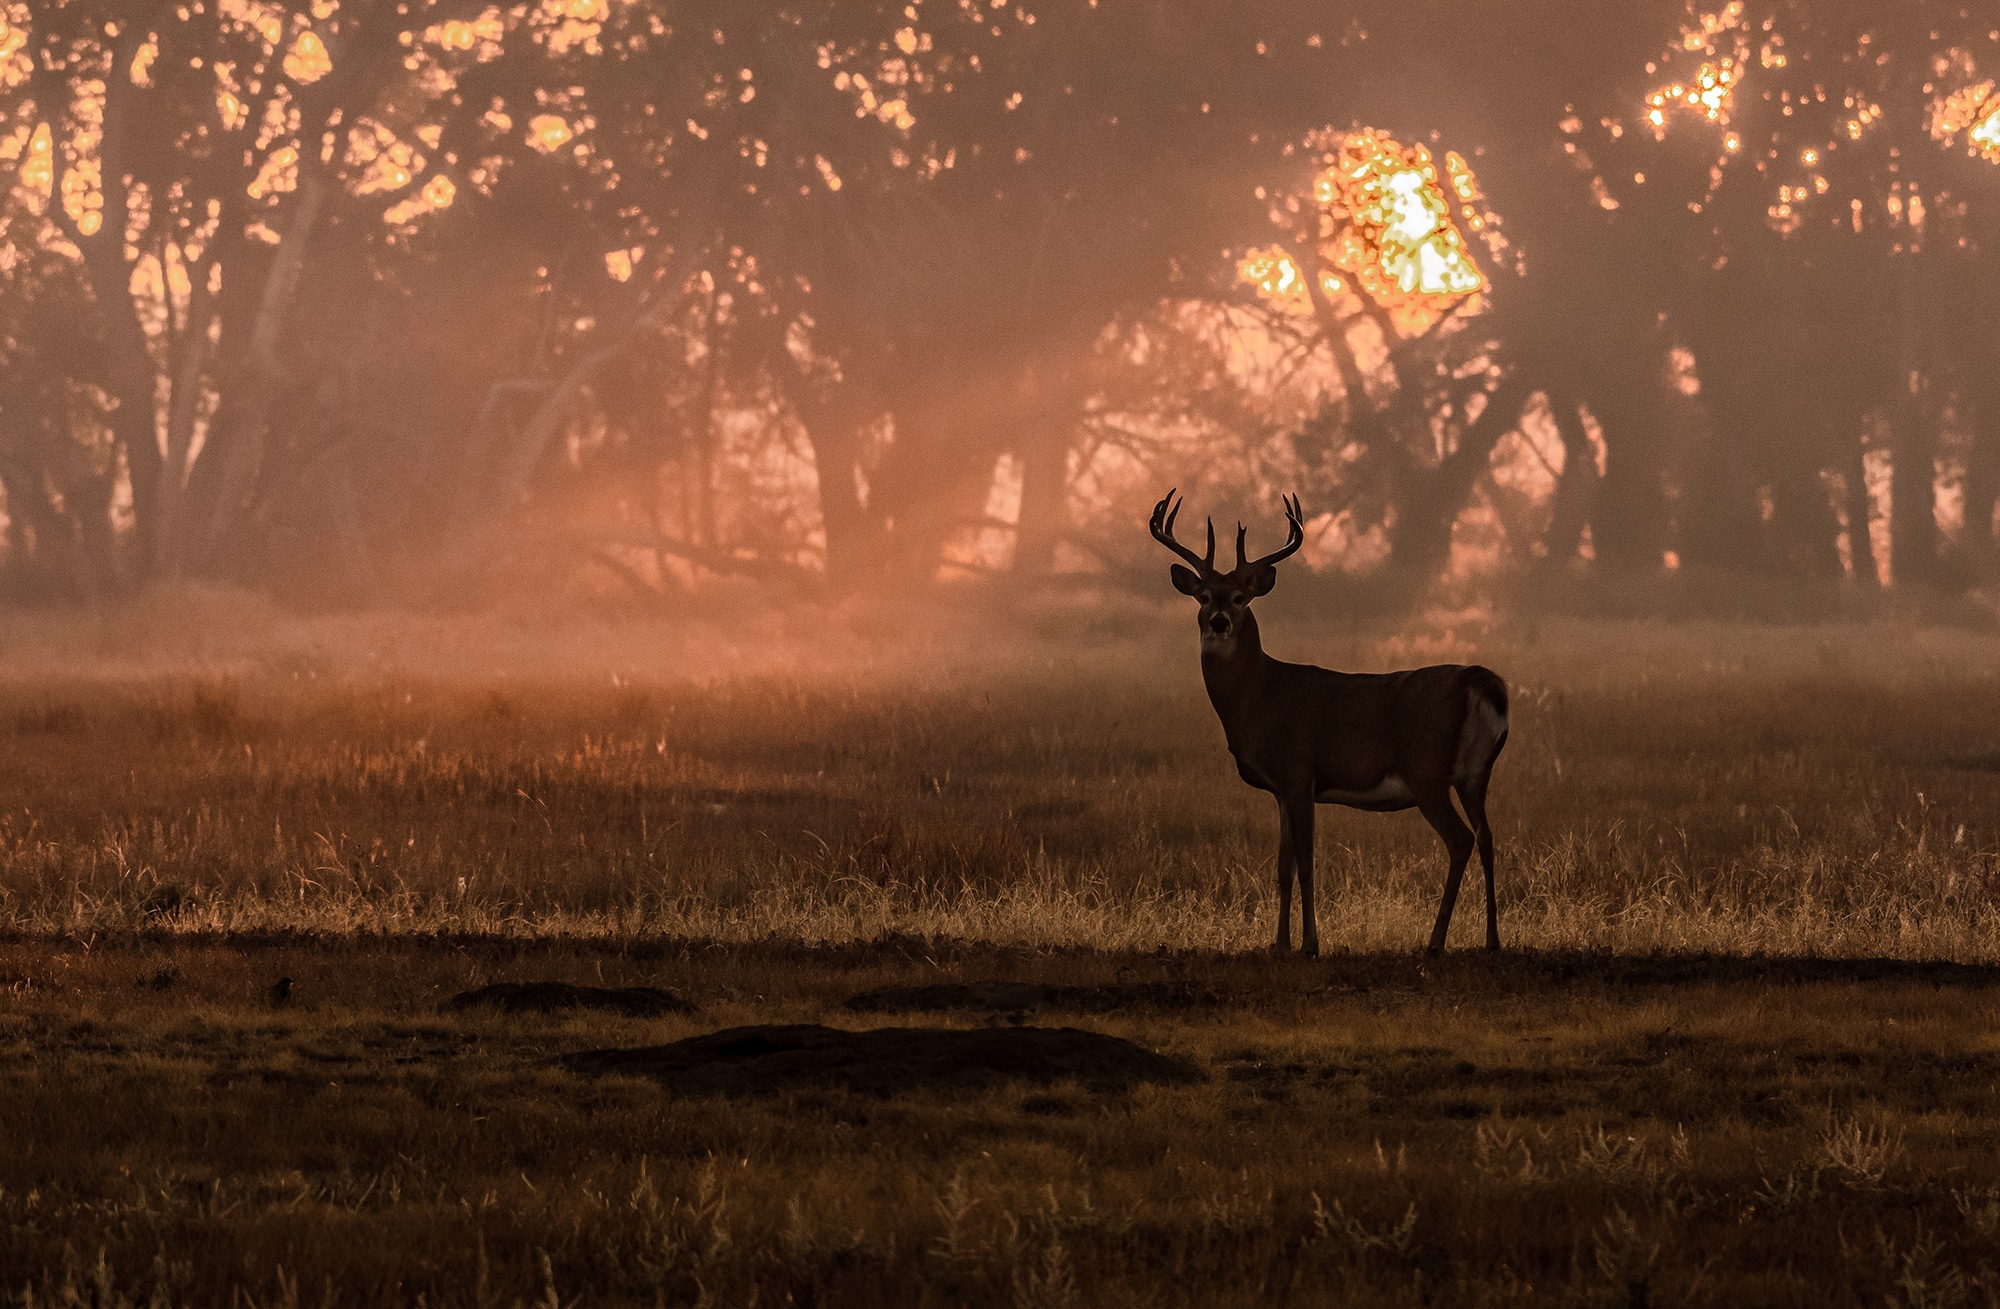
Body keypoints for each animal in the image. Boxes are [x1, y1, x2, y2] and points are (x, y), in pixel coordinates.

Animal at [1152, 486, 1504, 960]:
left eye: (1241, 597)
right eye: (1204, 596)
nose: (1219, 622)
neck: (1260, 695)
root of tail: (1479, 680)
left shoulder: (1300, 773)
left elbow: (1306, 864)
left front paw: (1310, 944)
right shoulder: (1281, 790)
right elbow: (1282, 867)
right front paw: (1278, 943)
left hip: (1426, 772)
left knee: (1461, 839)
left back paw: (1435, 943)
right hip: (1474, 775)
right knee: (1487, 838)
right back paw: (1492, 940)